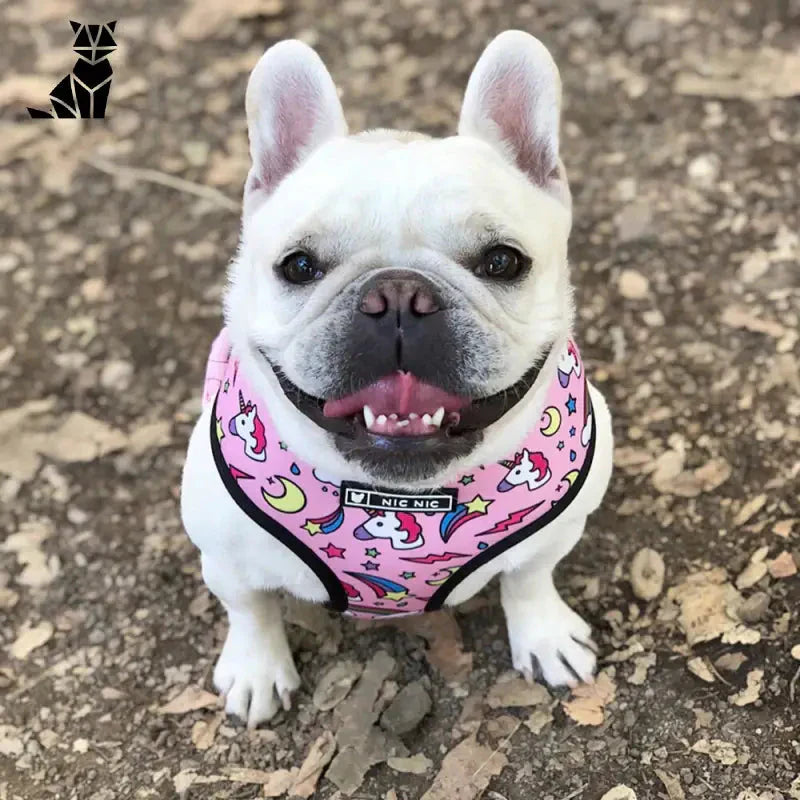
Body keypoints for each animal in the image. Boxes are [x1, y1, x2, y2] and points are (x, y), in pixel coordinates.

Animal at [183, 31, 612, 728]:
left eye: (502, 261)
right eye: (298, 265)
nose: (400, 296)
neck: (394, 495)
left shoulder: (553, 534)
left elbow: (528, 577)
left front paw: (544, 635)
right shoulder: (225, 559)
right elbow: (250, 609)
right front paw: (256, 669)